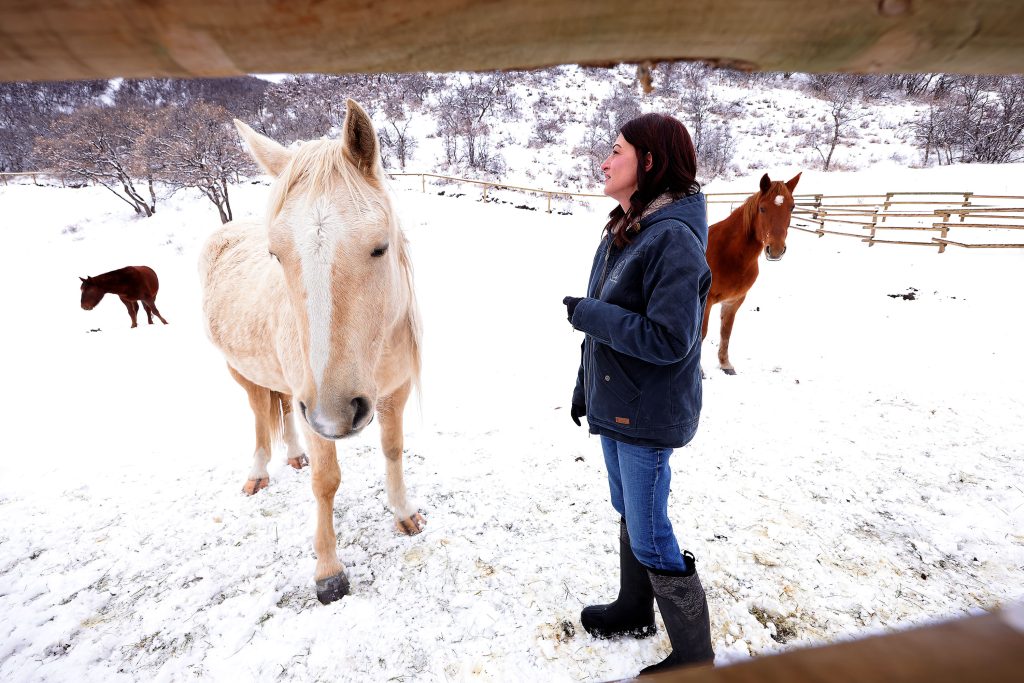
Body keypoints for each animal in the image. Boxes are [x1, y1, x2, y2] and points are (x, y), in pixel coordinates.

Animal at [198, 99, 424, 605]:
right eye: (276, 254)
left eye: (379, 247)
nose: (335, 413)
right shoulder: (314, 404)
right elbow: (326, 482)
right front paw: (328, 571)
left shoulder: (394, 392)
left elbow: (394, 450)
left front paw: (404, 513)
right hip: (244, 373)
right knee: (261, 419)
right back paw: (259, 472)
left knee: (280, 408)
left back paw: (293, 454)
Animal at [702, 172, 801, 374]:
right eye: (762, 208)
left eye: (792, 207)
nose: (775, 250)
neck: (728, 253)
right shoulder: (704, 302)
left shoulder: (734, 301)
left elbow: (726, 331)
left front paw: (725, 364)